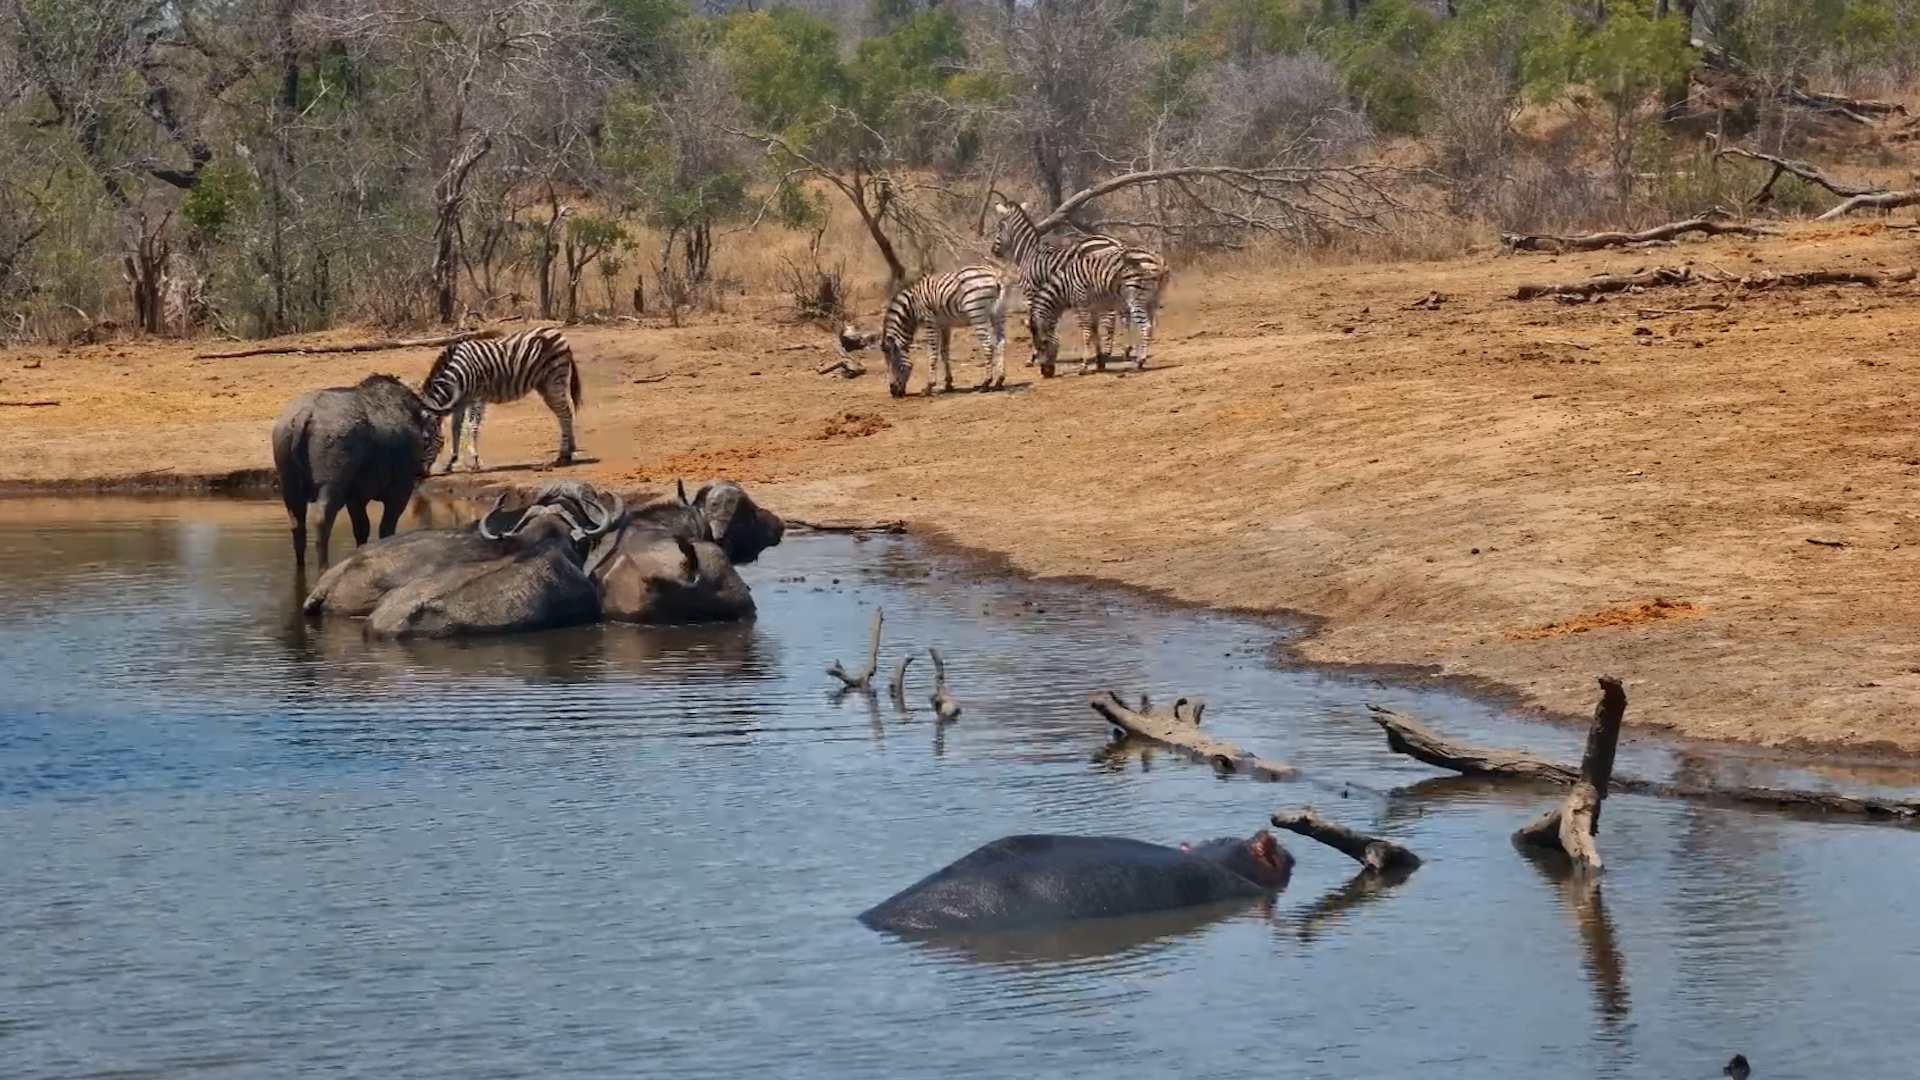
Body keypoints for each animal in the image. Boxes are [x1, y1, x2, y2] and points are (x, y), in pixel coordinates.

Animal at [419, 326, 582, 473]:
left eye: (425, 441)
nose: (421, 473)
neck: (456, 376)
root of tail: (557, 332)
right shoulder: (461, 402)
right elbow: (455, 429)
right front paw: (450, 463)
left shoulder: (477, 397)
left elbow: (472, 426)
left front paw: (474, 461)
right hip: (544, 386)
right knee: (564, 414)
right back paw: (570, 450)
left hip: (554, 380)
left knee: (565, 414)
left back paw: (564, 456)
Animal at [878, 265, 1010, 398]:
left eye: (893, 365)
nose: (893, 392)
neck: (911, 307)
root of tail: (994, 275)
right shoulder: (945, 325)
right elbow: (944, 352)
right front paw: (948, 384)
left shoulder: (930, 323)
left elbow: (932, 354)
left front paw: (929, 387)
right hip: (998, 314)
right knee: (1001, 343)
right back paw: (999, 381)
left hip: (977, 314)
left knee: (988, 346)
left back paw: (985, 383)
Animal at [989, 201, 1152, 377]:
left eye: (999, 226)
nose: (994, 252)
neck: (1029, 254)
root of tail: (1115, 242)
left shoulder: (1030, 292)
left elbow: (1034, 323)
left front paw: (1032, 357)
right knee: (1123, 315)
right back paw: (1124, 351)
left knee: (1111, 319)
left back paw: (1109, 354)